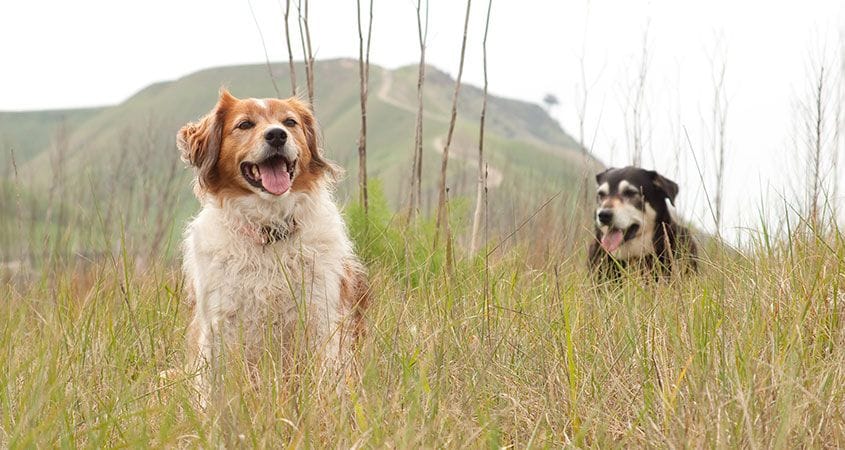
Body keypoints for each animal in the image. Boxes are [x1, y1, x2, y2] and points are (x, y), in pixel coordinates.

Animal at [176, 89, 368, 400]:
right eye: (244, 125)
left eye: (289, 122)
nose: (277, 135)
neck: (269, 230)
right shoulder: (220, 324)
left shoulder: (320, 317)